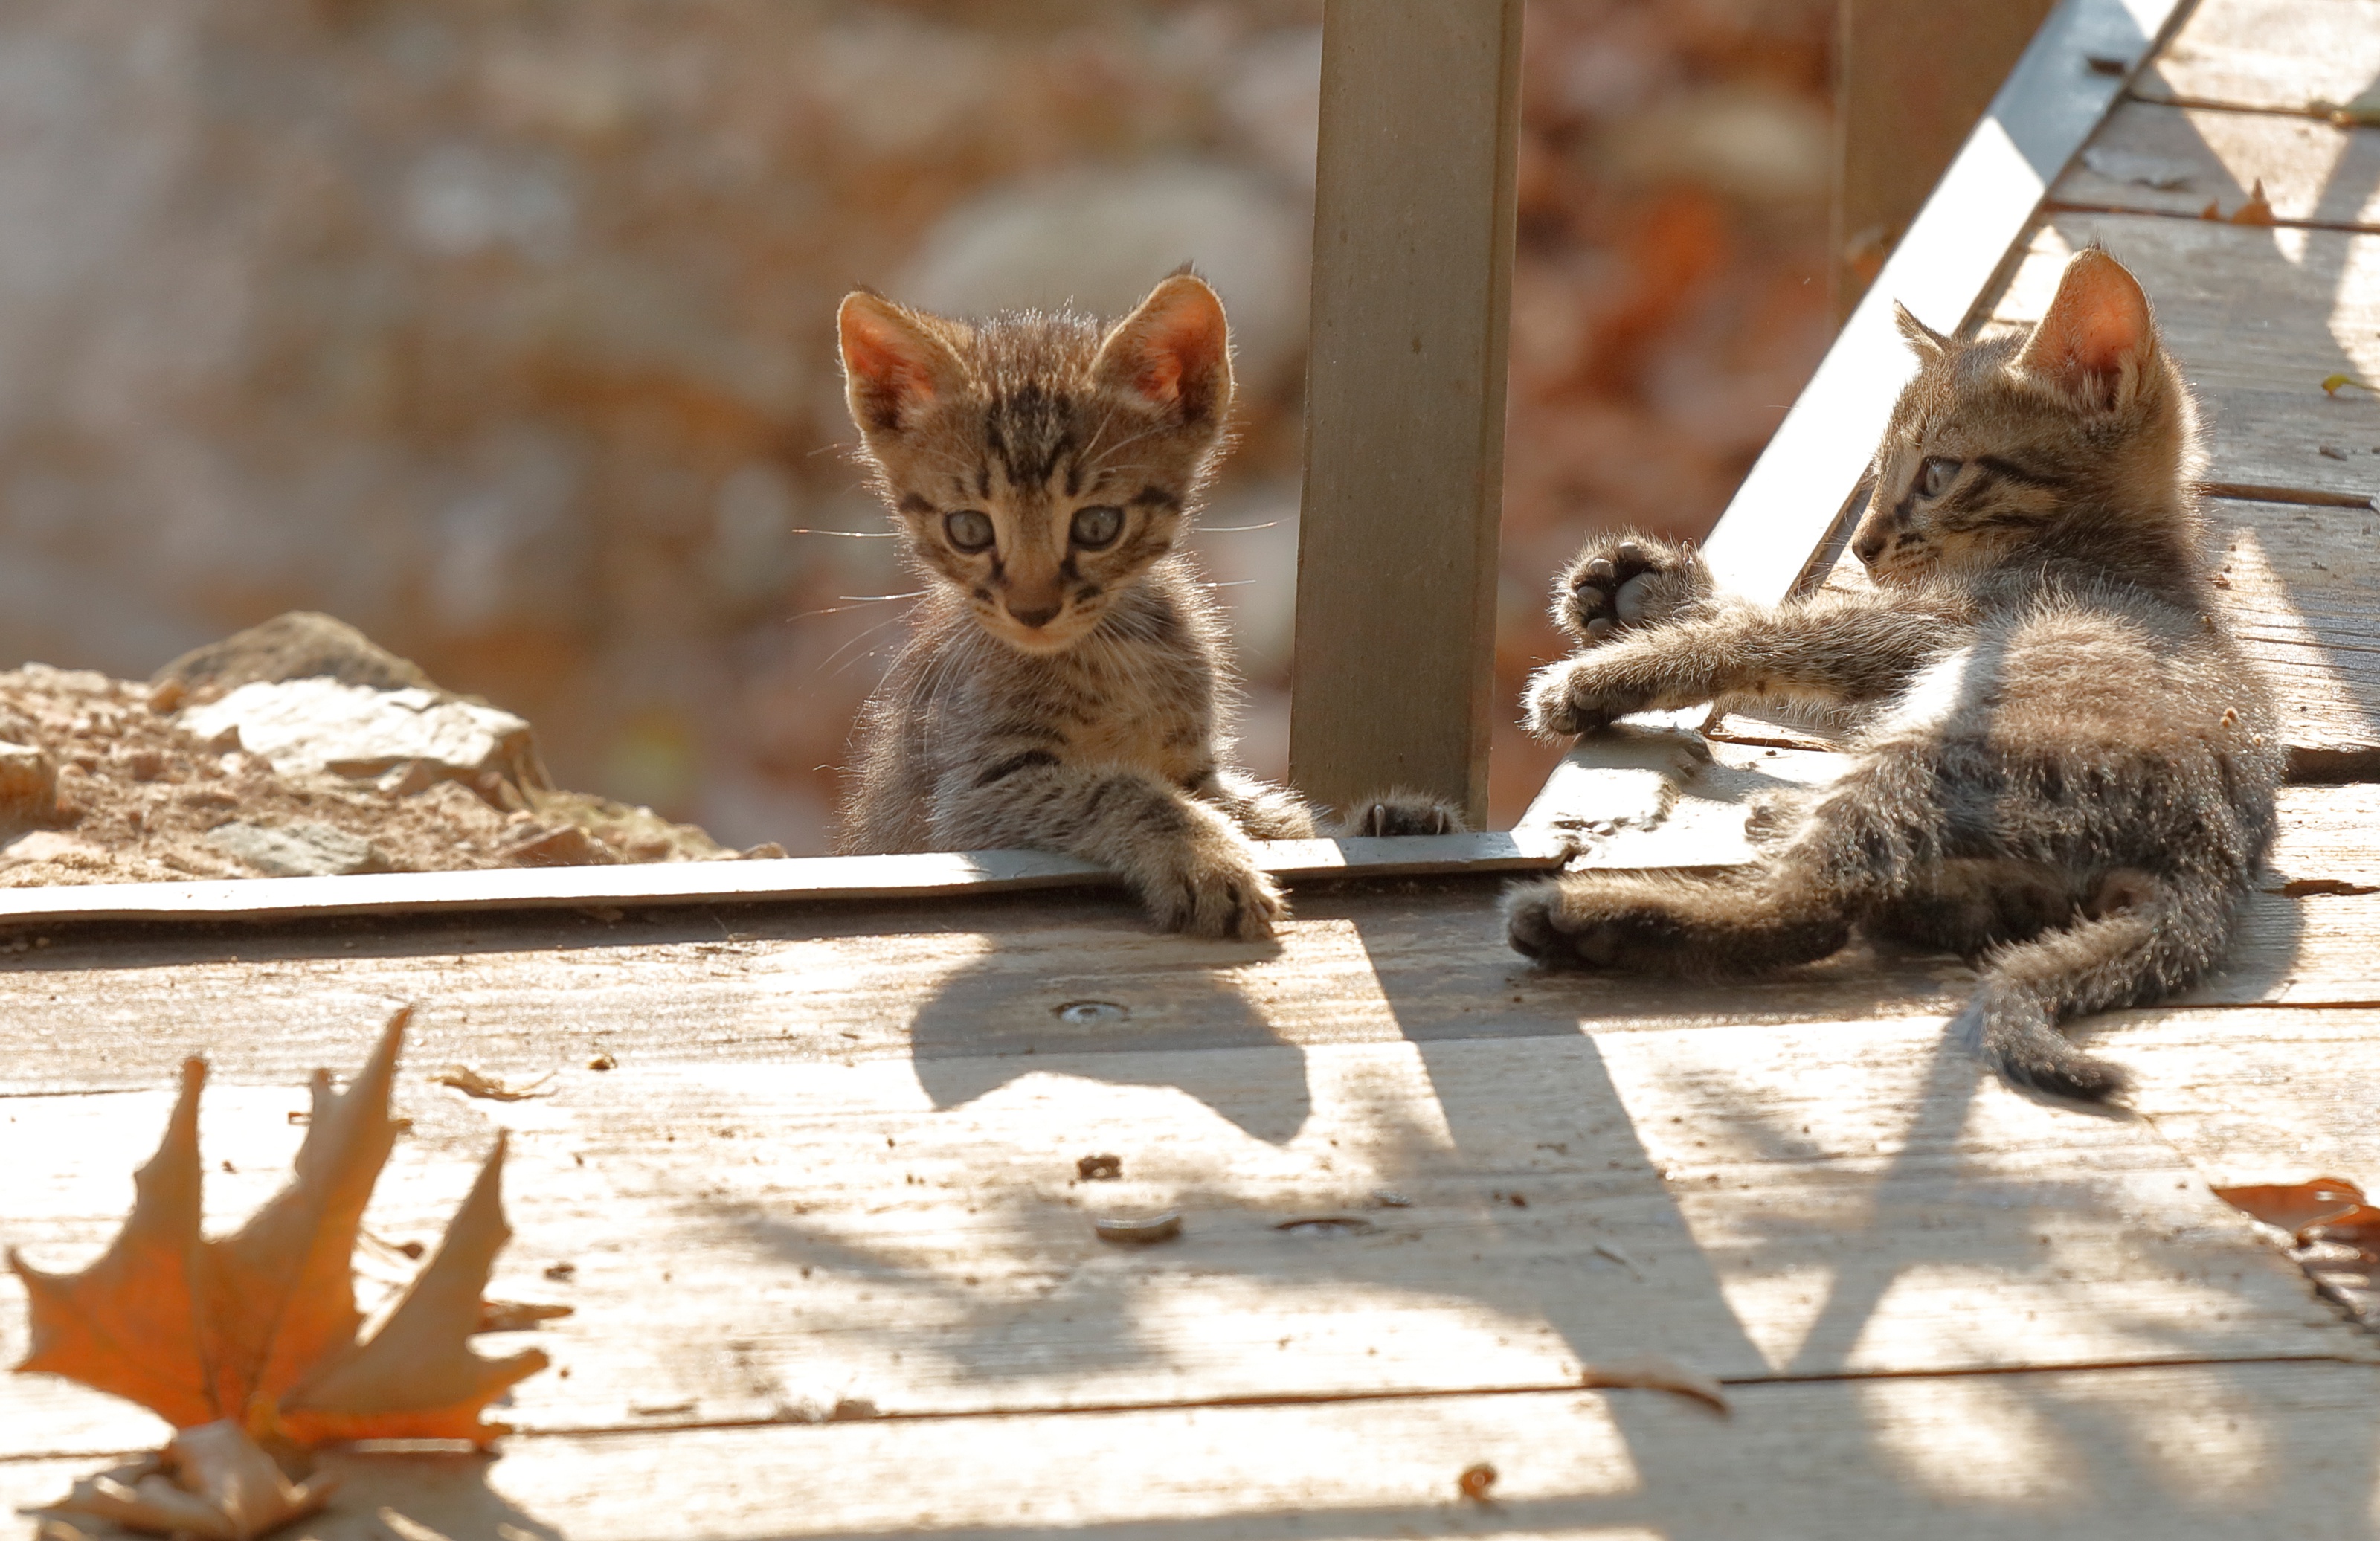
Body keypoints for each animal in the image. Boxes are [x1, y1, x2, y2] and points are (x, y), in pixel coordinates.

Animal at [837, 267, 1466, 936]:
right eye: (969, 530)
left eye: (1097, 526)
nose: (1033, 612)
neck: (1114, 653)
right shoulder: (971, 797)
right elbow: (1120, 789)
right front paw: (1207, 861)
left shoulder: (1198, 768)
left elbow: (1278, 819)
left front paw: (1381, 822)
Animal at [1504, 247, 2265, 1103]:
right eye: (1876, 471)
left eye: (1935, 474)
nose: (1865, 544)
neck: (2120, 548)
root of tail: (2209, 854)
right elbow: (1765, 626)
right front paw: (1641, 588)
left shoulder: (1919, 630)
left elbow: (1763, 634)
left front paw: (1601, 672)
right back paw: (1779, 820)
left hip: (1932, 750)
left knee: (1808, 909)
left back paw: (1582, 918)